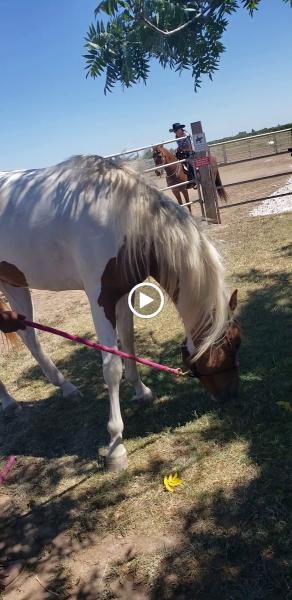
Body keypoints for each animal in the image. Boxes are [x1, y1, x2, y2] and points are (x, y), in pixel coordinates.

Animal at [0, 157, 240, 472]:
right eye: (229, 347)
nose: (231, 394)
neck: (121, 215)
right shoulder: (99, 298)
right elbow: (111, 366)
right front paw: (116, 444)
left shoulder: (125, 292)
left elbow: (129, 344)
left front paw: (142, 391)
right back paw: (9, 401)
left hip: (13, 282)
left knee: (29, 335)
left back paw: (62, 387)